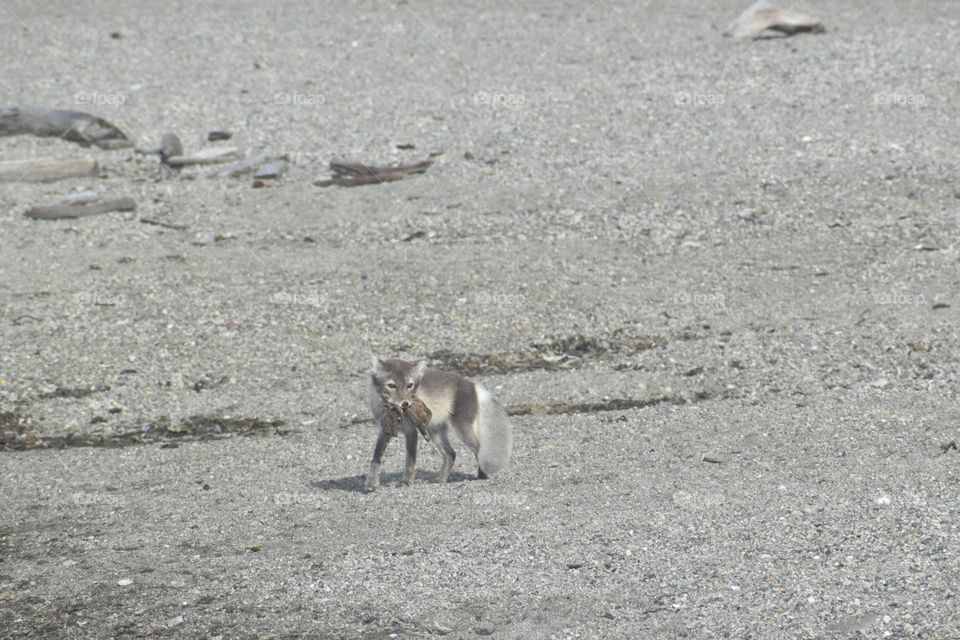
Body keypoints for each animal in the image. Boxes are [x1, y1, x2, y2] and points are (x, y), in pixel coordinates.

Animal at [365, 357, 513, 492]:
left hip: (462, 429)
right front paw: (371, 482)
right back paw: (440, 479)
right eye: (391, 385)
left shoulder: (411, 431)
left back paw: (482, 476)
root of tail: (472, 384)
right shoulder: (385, 429)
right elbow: (376, 457)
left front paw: (406, 482)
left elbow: (410, 460)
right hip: (434, 432)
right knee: (451, 454)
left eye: (410, 385)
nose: (405, 404)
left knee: (478, 449)